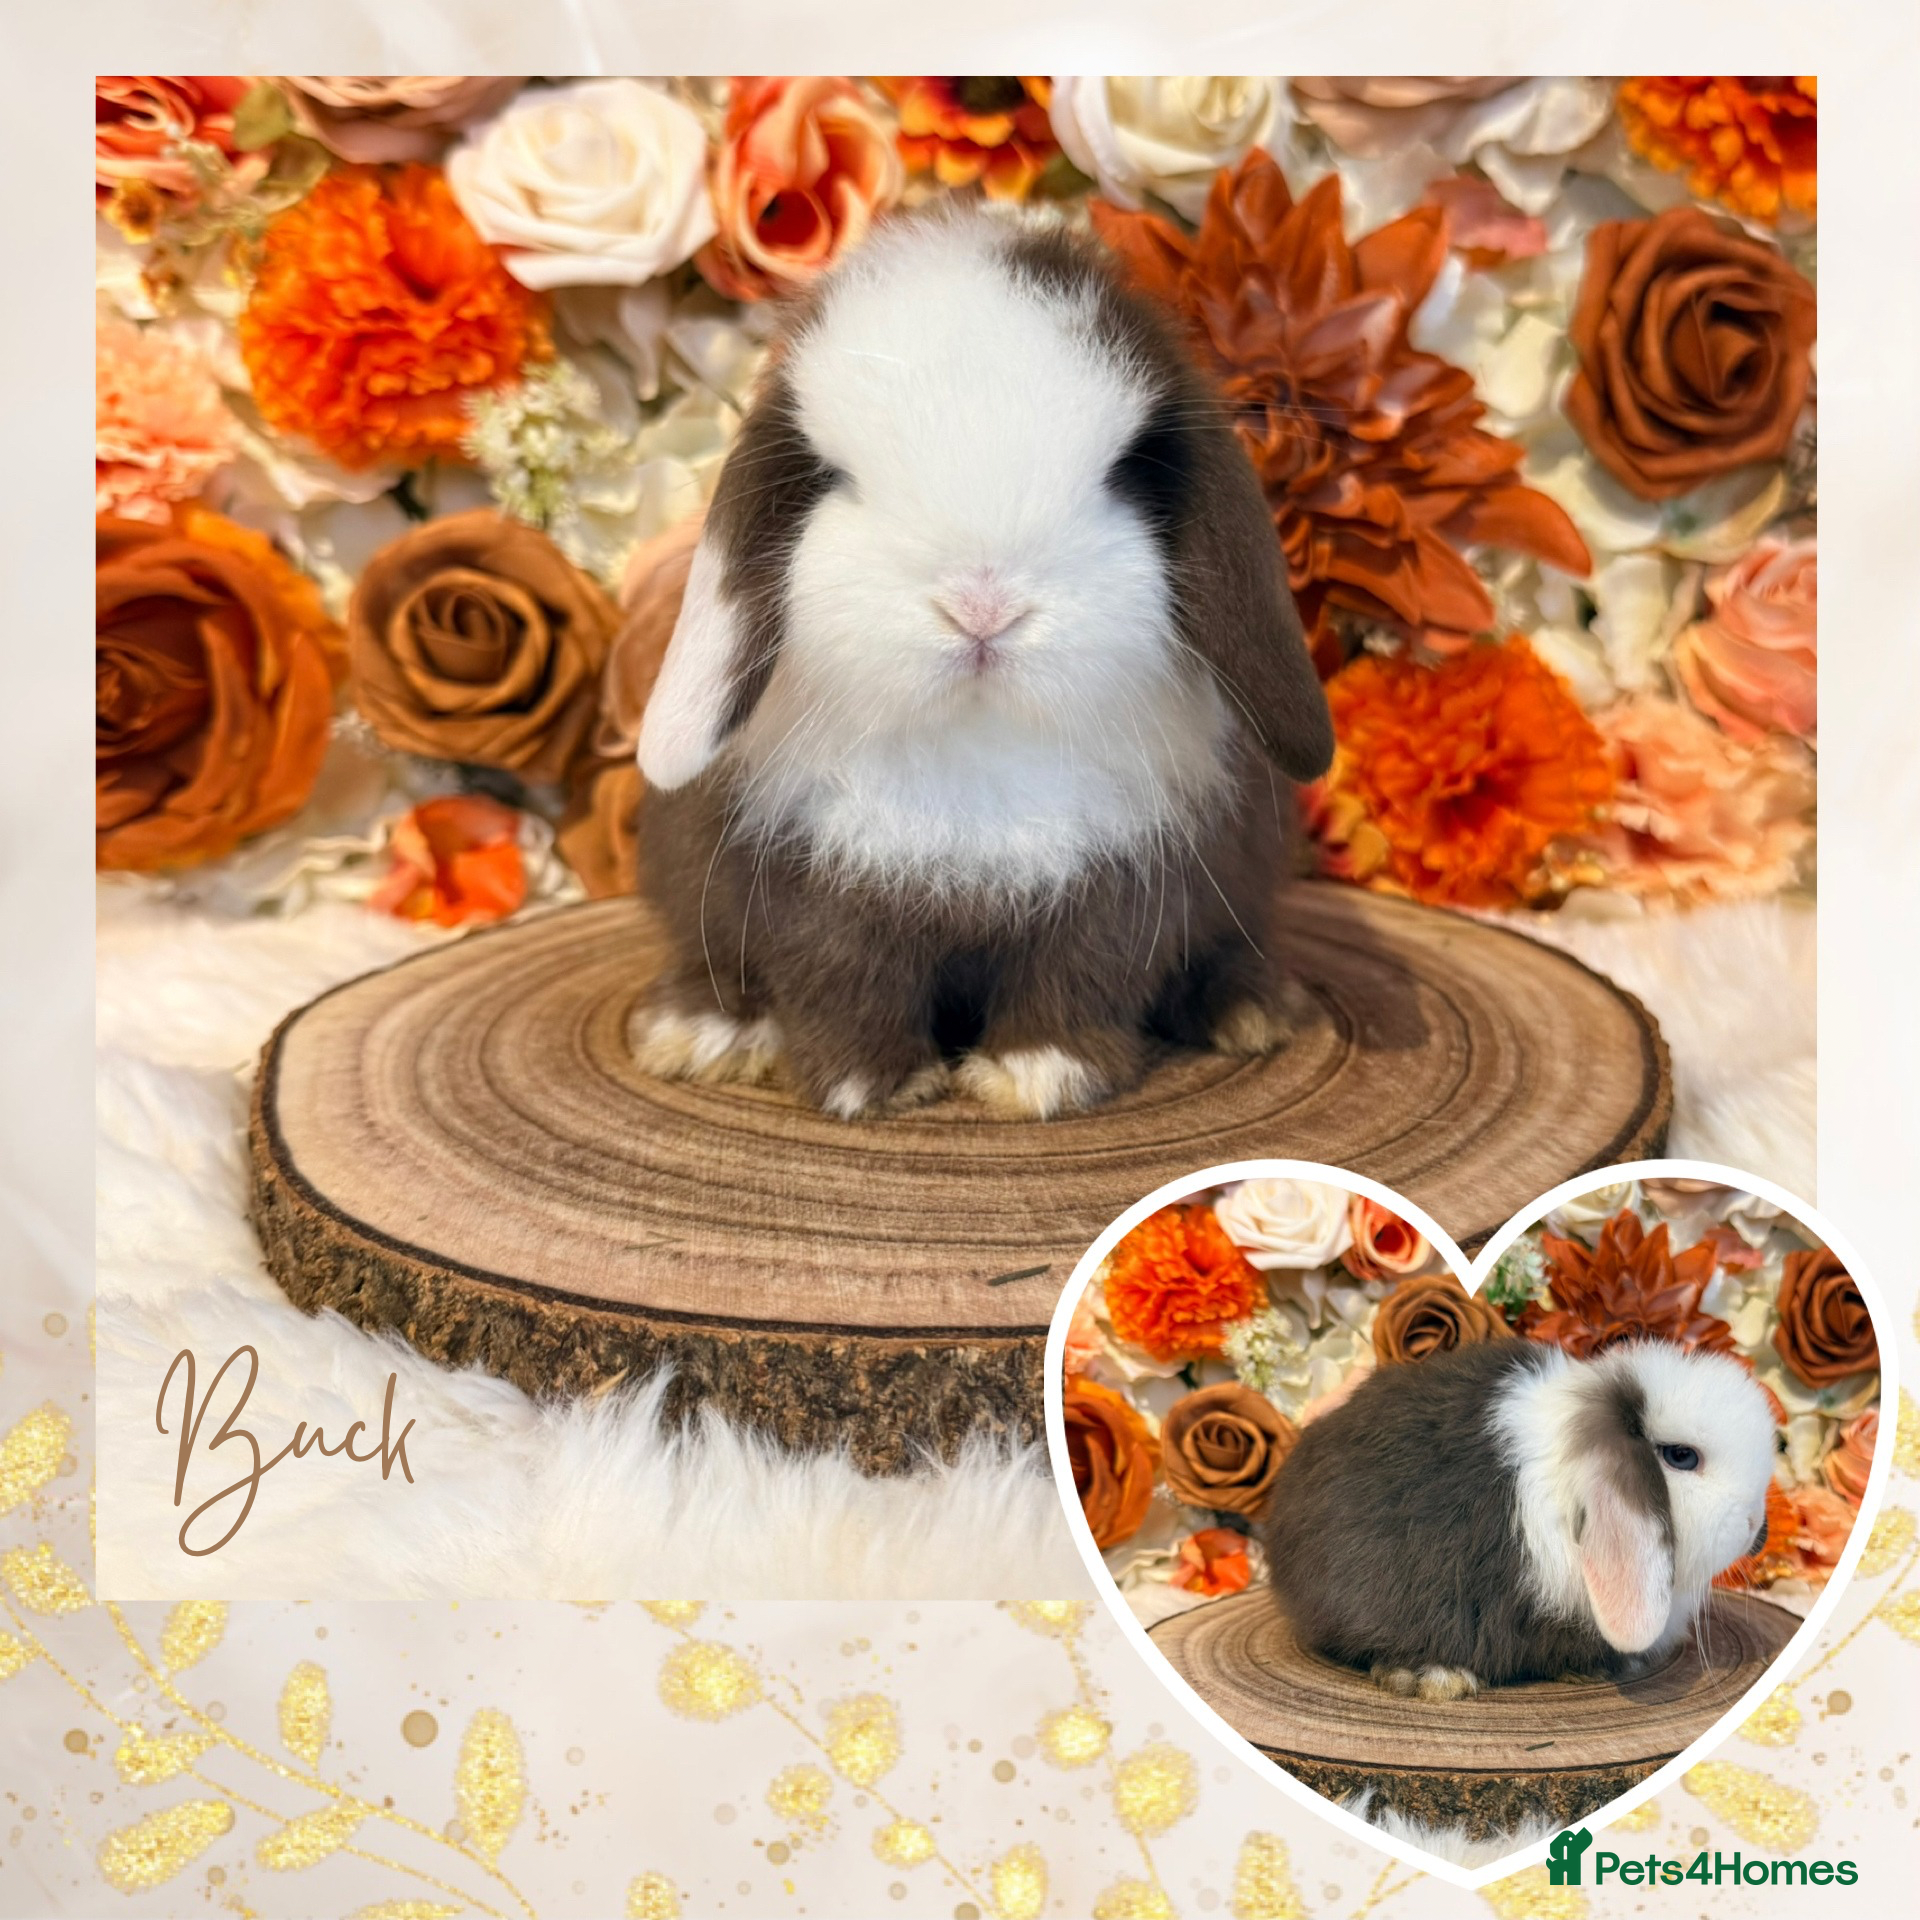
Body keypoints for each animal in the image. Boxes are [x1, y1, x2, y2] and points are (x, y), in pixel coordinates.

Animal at [629, 203, 1334, 1120]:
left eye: (1123, 474)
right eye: (835, 479)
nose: (982, 606)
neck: (977, 750)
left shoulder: (1118, 888)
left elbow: (1079, 976)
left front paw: (1033, 1079)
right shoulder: (818, 889)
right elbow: (842, 977)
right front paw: (874, 1087)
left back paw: (1254, 1011)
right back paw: (698, 1034)